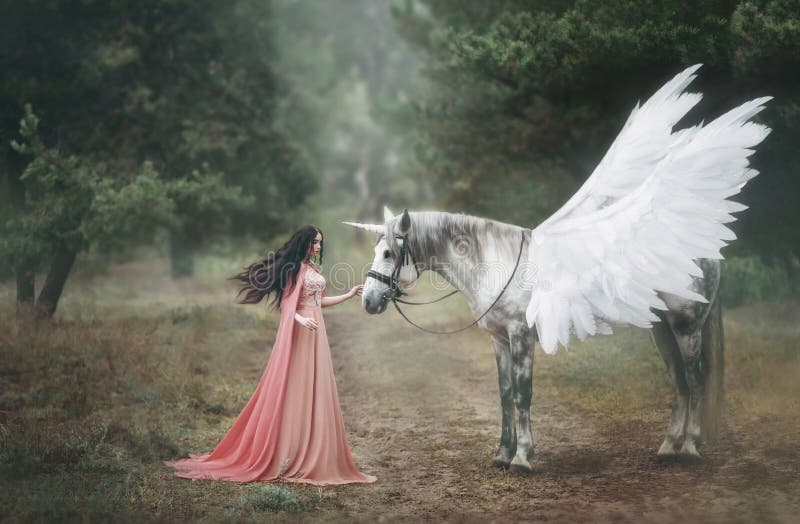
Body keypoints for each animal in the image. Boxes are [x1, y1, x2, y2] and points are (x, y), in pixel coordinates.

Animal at [344, 63, 768, 472]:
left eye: (388, 253)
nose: (368, 301)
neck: (496, 264)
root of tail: (701, 248)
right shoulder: (499, 340)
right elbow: (504, 394)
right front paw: (501, 454)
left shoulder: (521, 336)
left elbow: (523, 394)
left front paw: (522, 458)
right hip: (660, 328)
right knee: (678, 380)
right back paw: (668, 448)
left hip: (686, 325)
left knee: (696, 379)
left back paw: (691, 448)